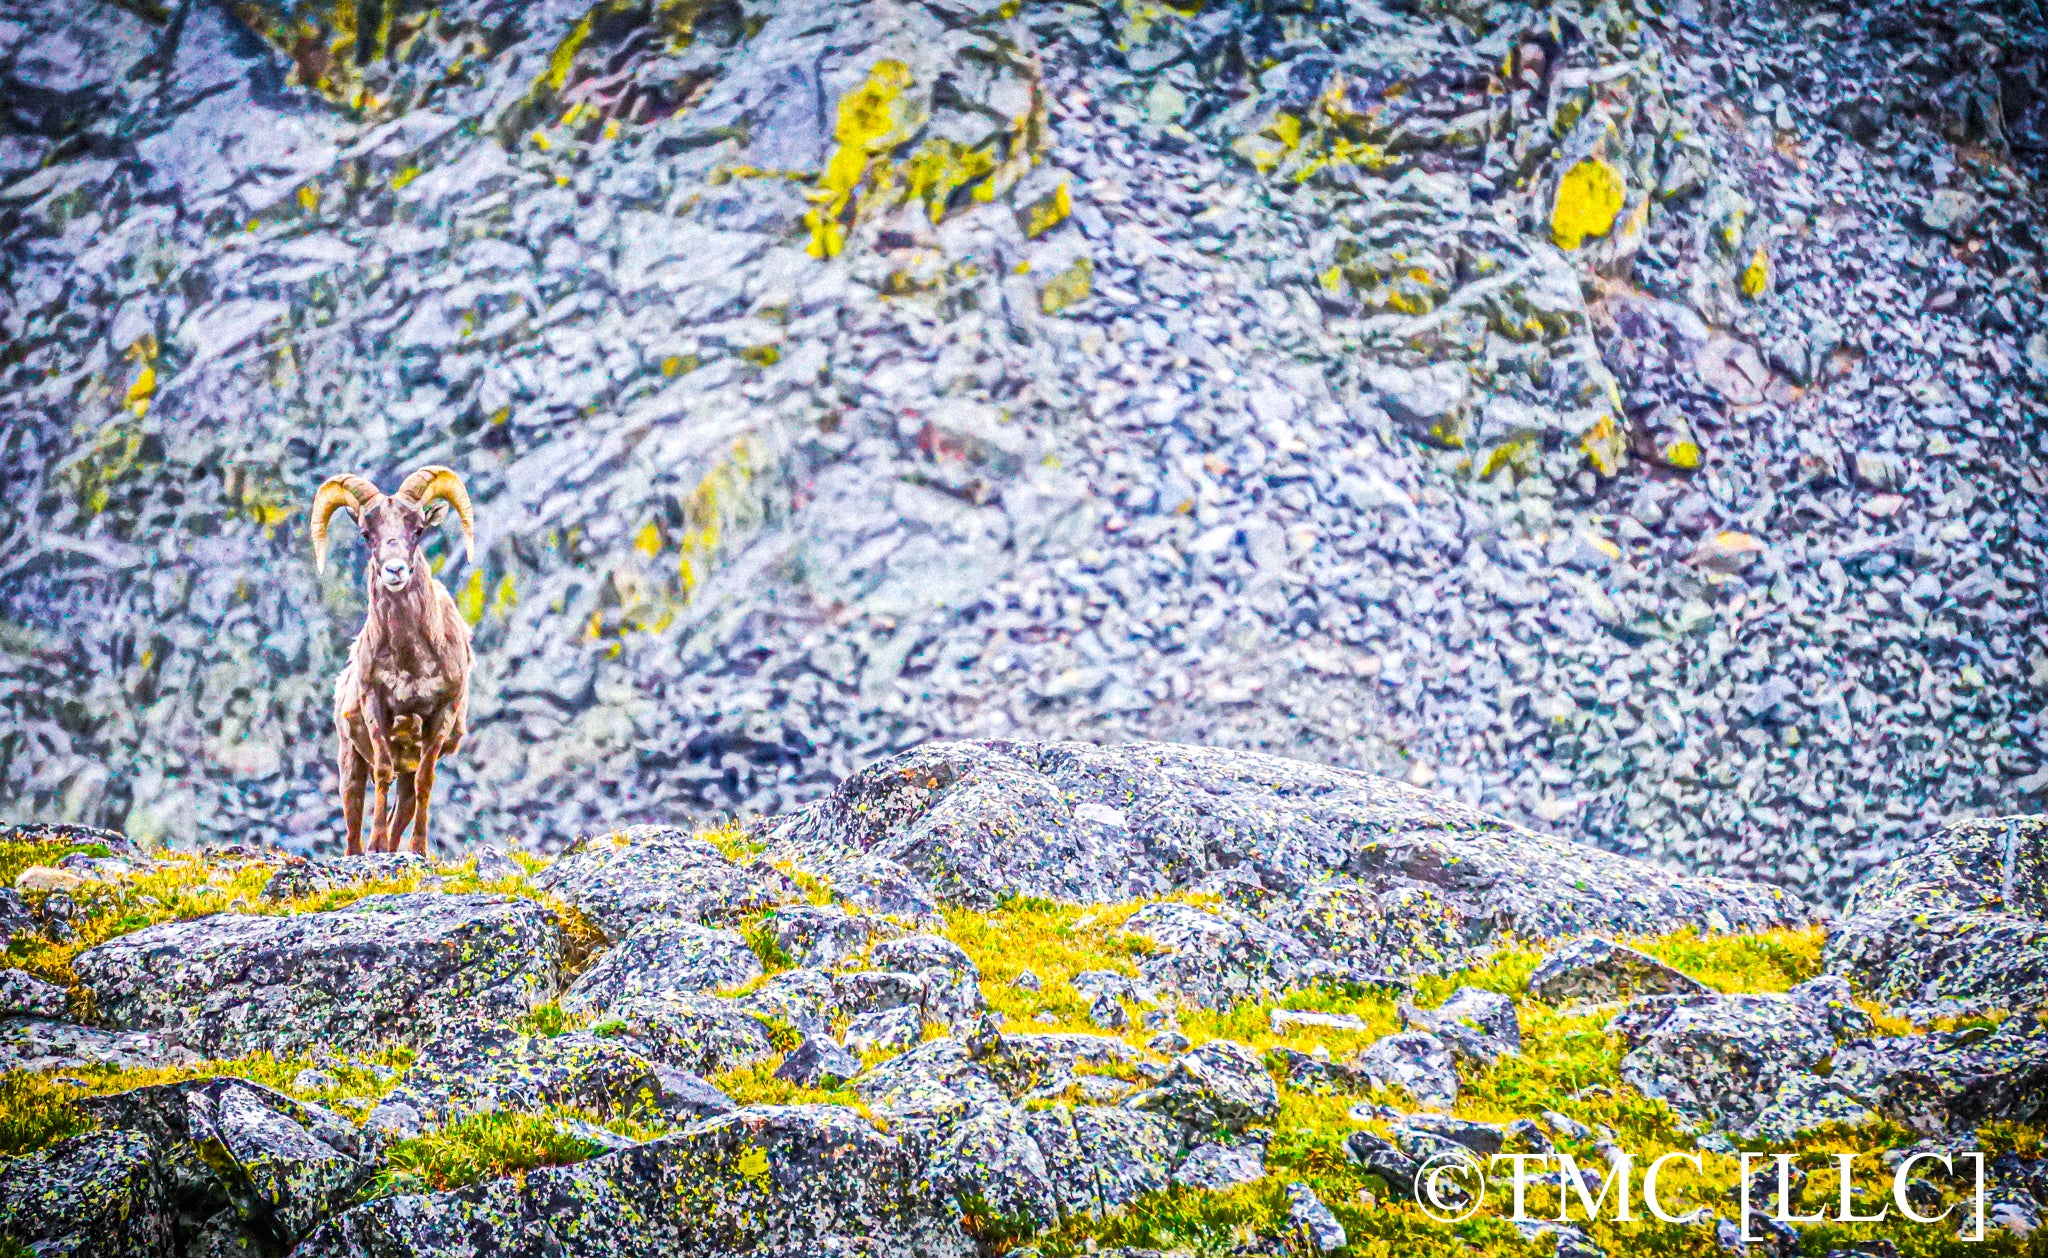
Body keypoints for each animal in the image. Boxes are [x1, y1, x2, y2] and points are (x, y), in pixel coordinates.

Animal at [310, 466, 476, 856]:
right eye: (366, 534)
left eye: (418, 529)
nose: (395, 571)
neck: (410, 664)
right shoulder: (376, 706)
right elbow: (383, 772)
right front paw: (376, 846)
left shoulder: (440, 715)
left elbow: (425, 782)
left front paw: (418, 850)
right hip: (350, 763)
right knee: (354, 817)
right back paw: (365, 851)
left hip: (405, 770)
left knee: (404, 805)